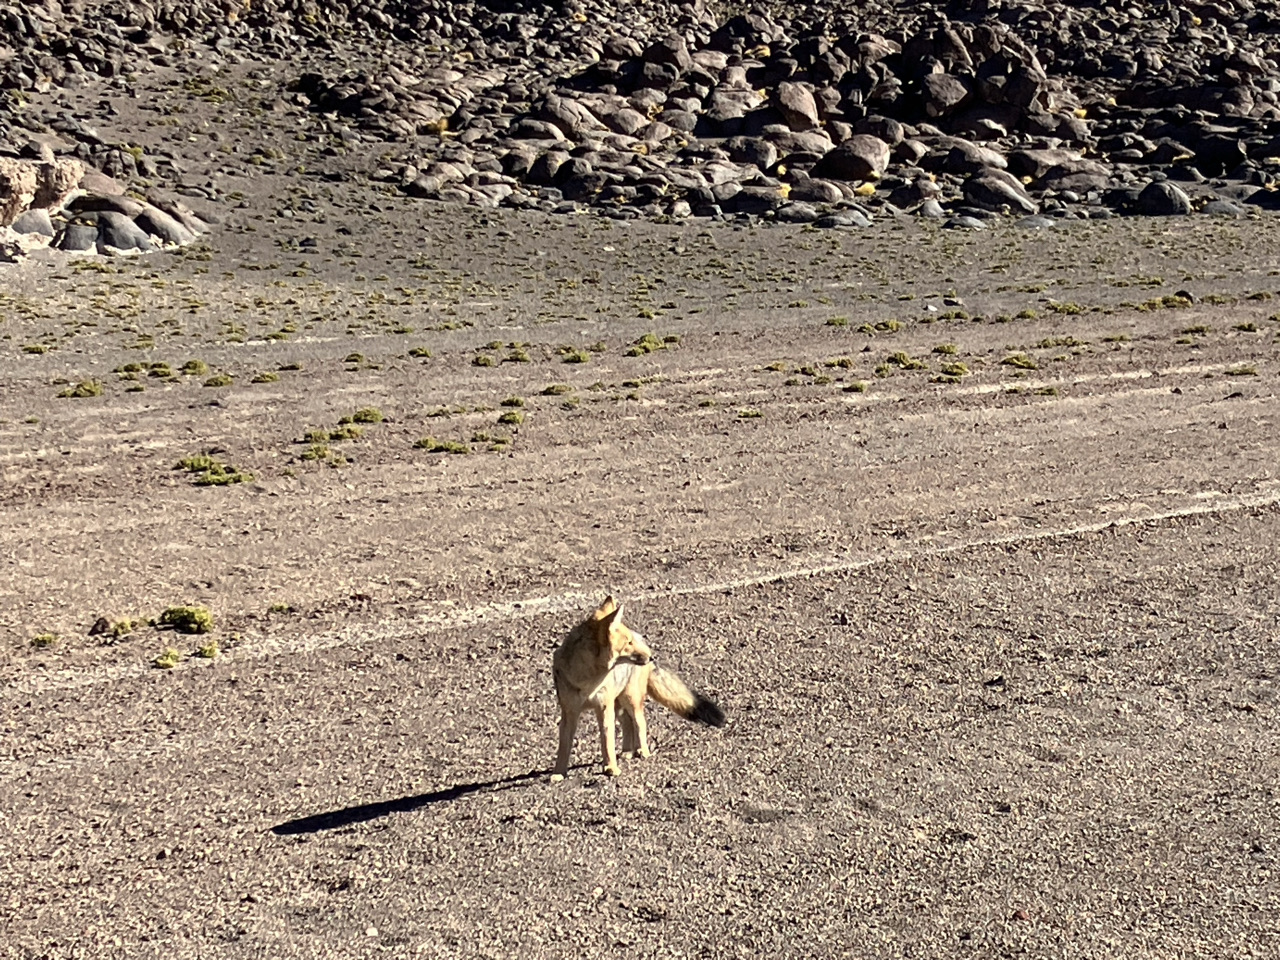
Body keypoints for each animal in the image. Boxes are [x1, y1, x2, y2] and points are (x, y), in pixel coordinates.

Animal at [550, 593, 727, 783]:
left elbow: (607, 742)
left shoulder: (604, 708)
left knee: (639, 723)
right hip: (619, 705)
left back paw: (643, 751)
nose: (651, 657)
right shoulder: (569, 712)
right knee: (627, 724)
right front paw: (558, 773)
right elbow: (564, 746)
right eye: (628, 643)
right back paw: (627, 752)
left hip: (630, 701)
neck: (587, 681)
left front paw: (611, 768)